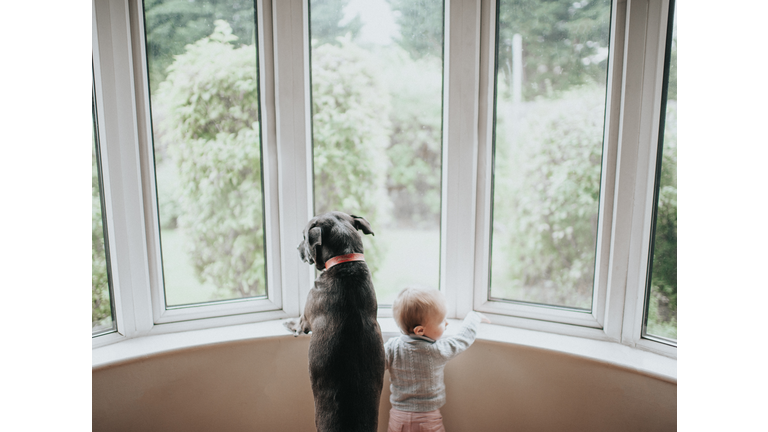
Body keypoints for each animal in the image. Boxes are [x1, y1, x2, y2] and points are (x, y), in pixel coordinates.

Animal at [286, 211, 388, 430]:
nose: (297, 247)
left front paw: (289, 323)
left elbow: (298, 323)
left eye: (304, 236)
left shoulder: (305, 317)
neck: (346, 262)